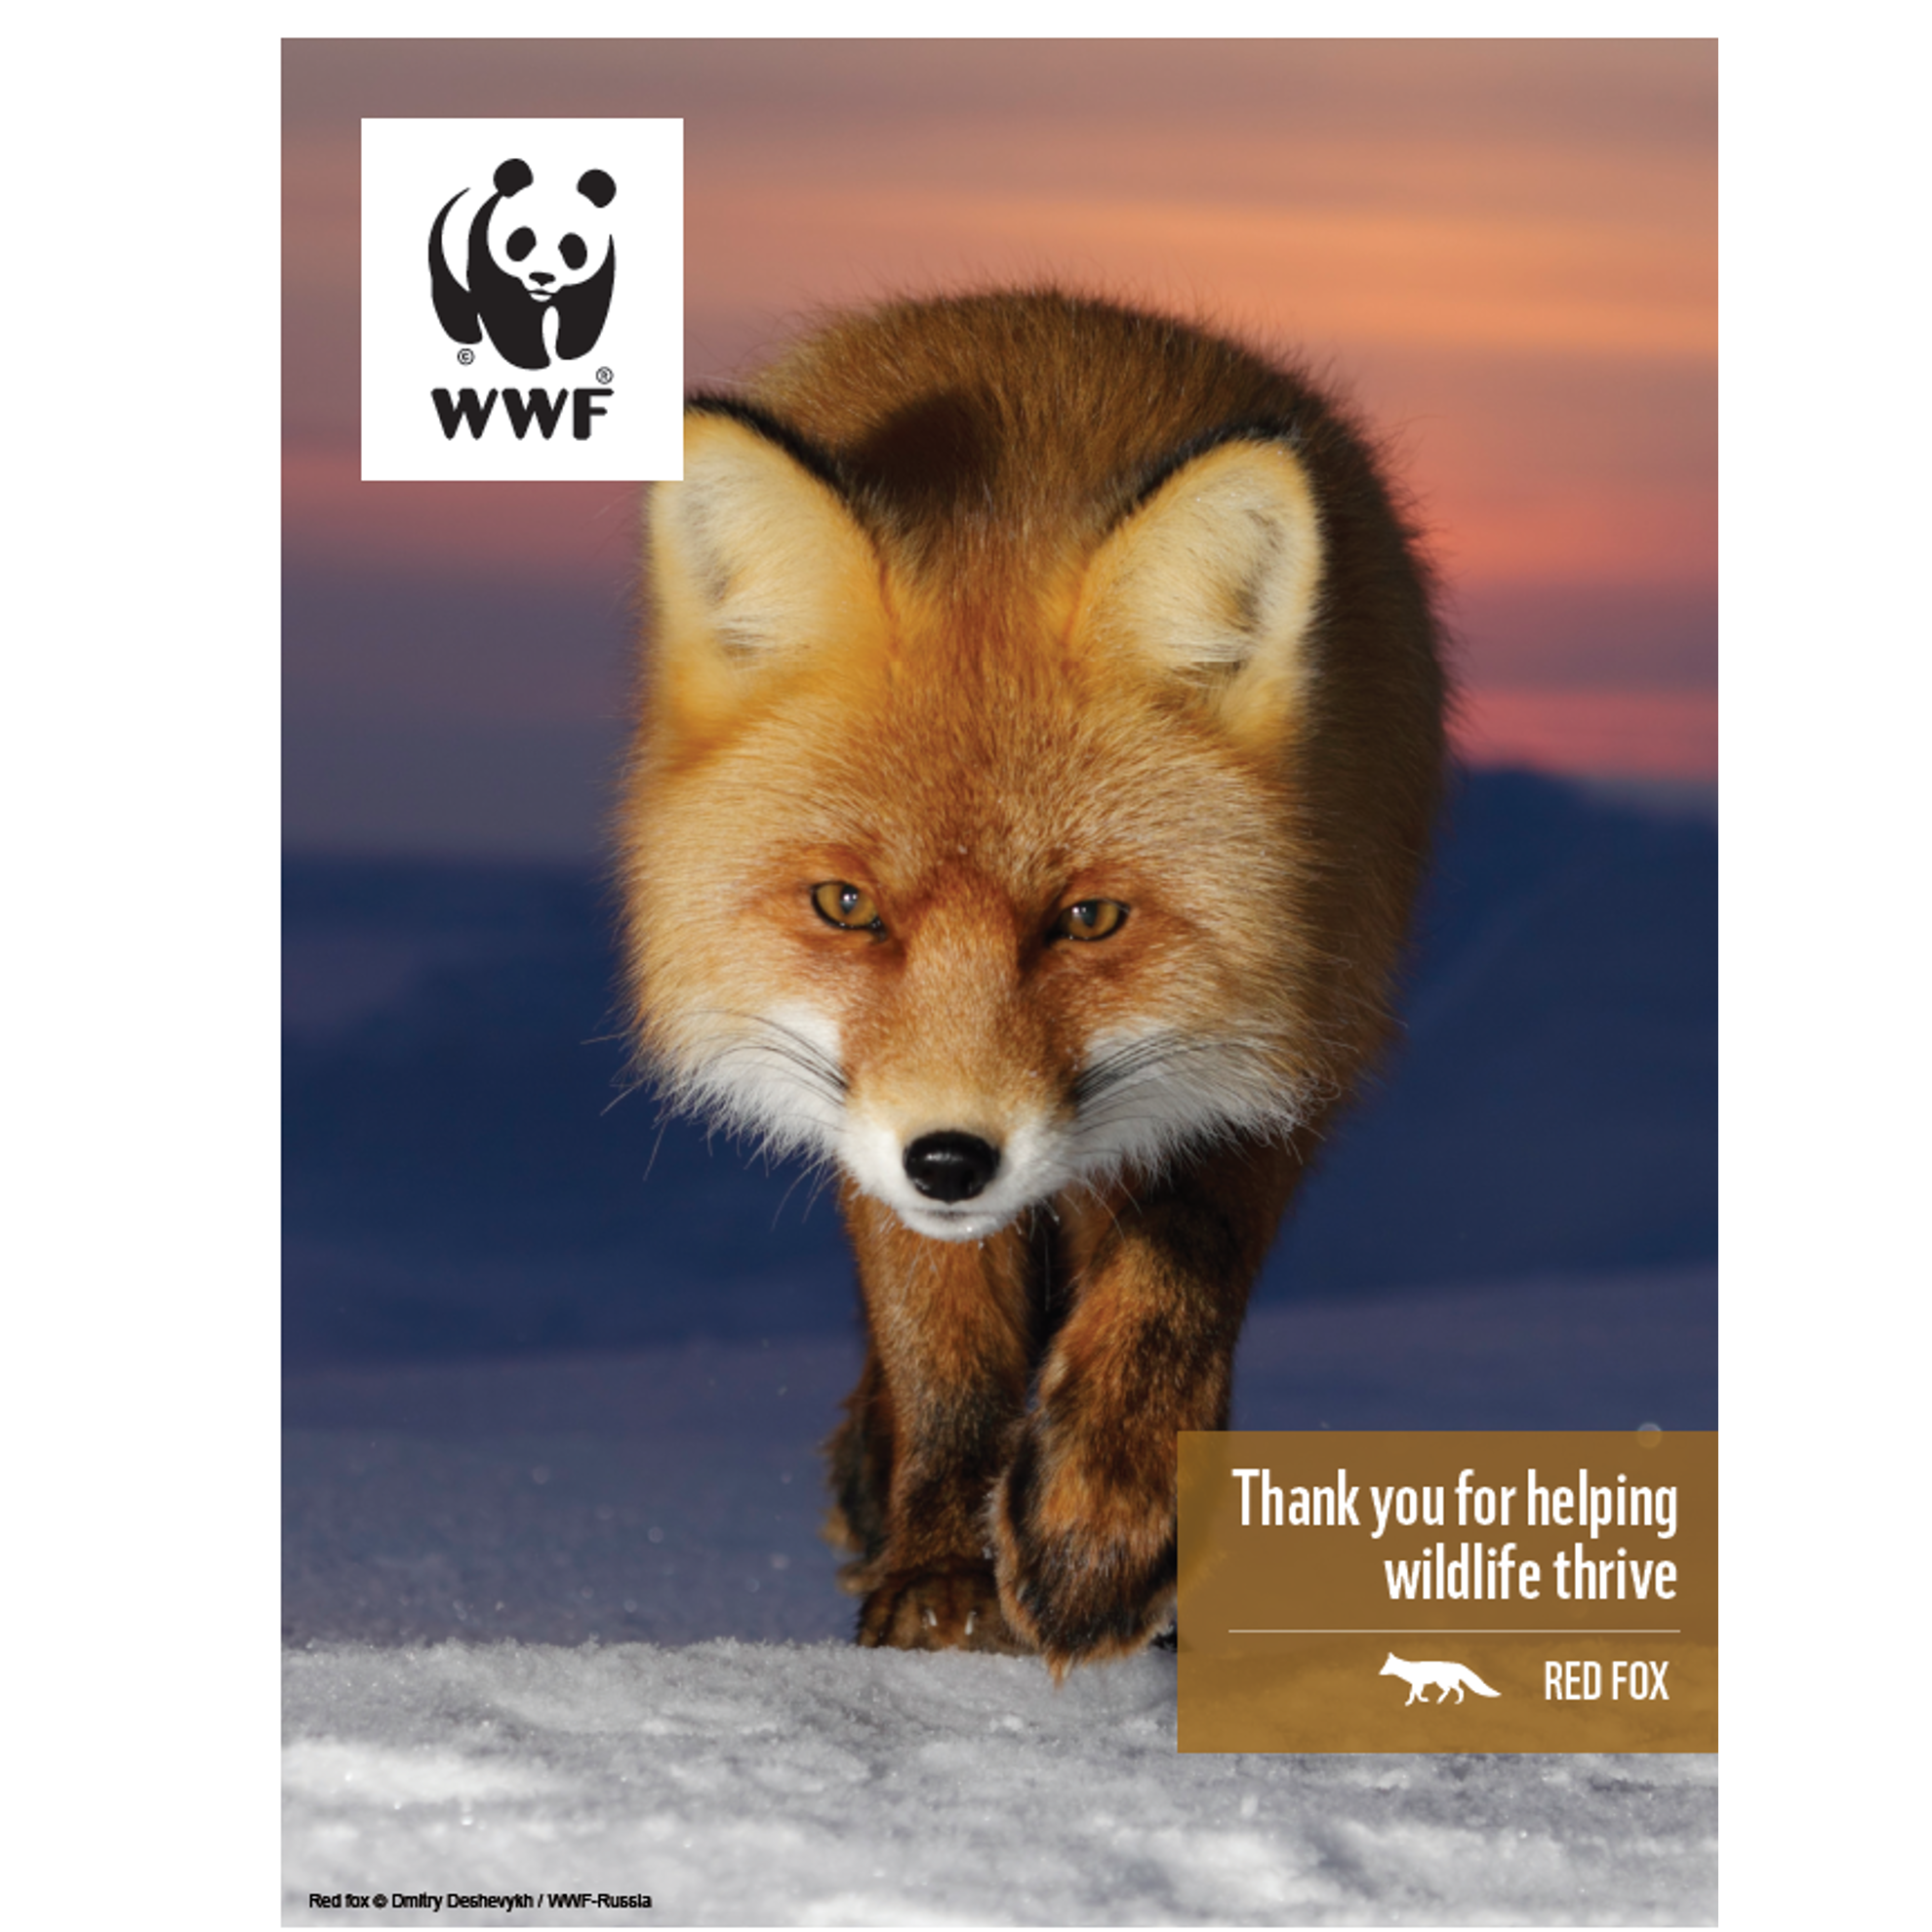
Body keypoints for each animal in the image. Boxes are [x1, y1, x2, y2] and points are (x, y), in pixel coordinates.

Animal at [618, 289, 1445, 1677]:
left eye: (1089, 920)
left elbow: (1176, 1277)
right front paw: (945, 1572)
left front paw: (1100, 1523)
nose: (954, 1160)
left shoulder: (1297, 1043)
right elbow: (937, 1339)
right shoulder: (874, 1124)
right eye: (847, 907)